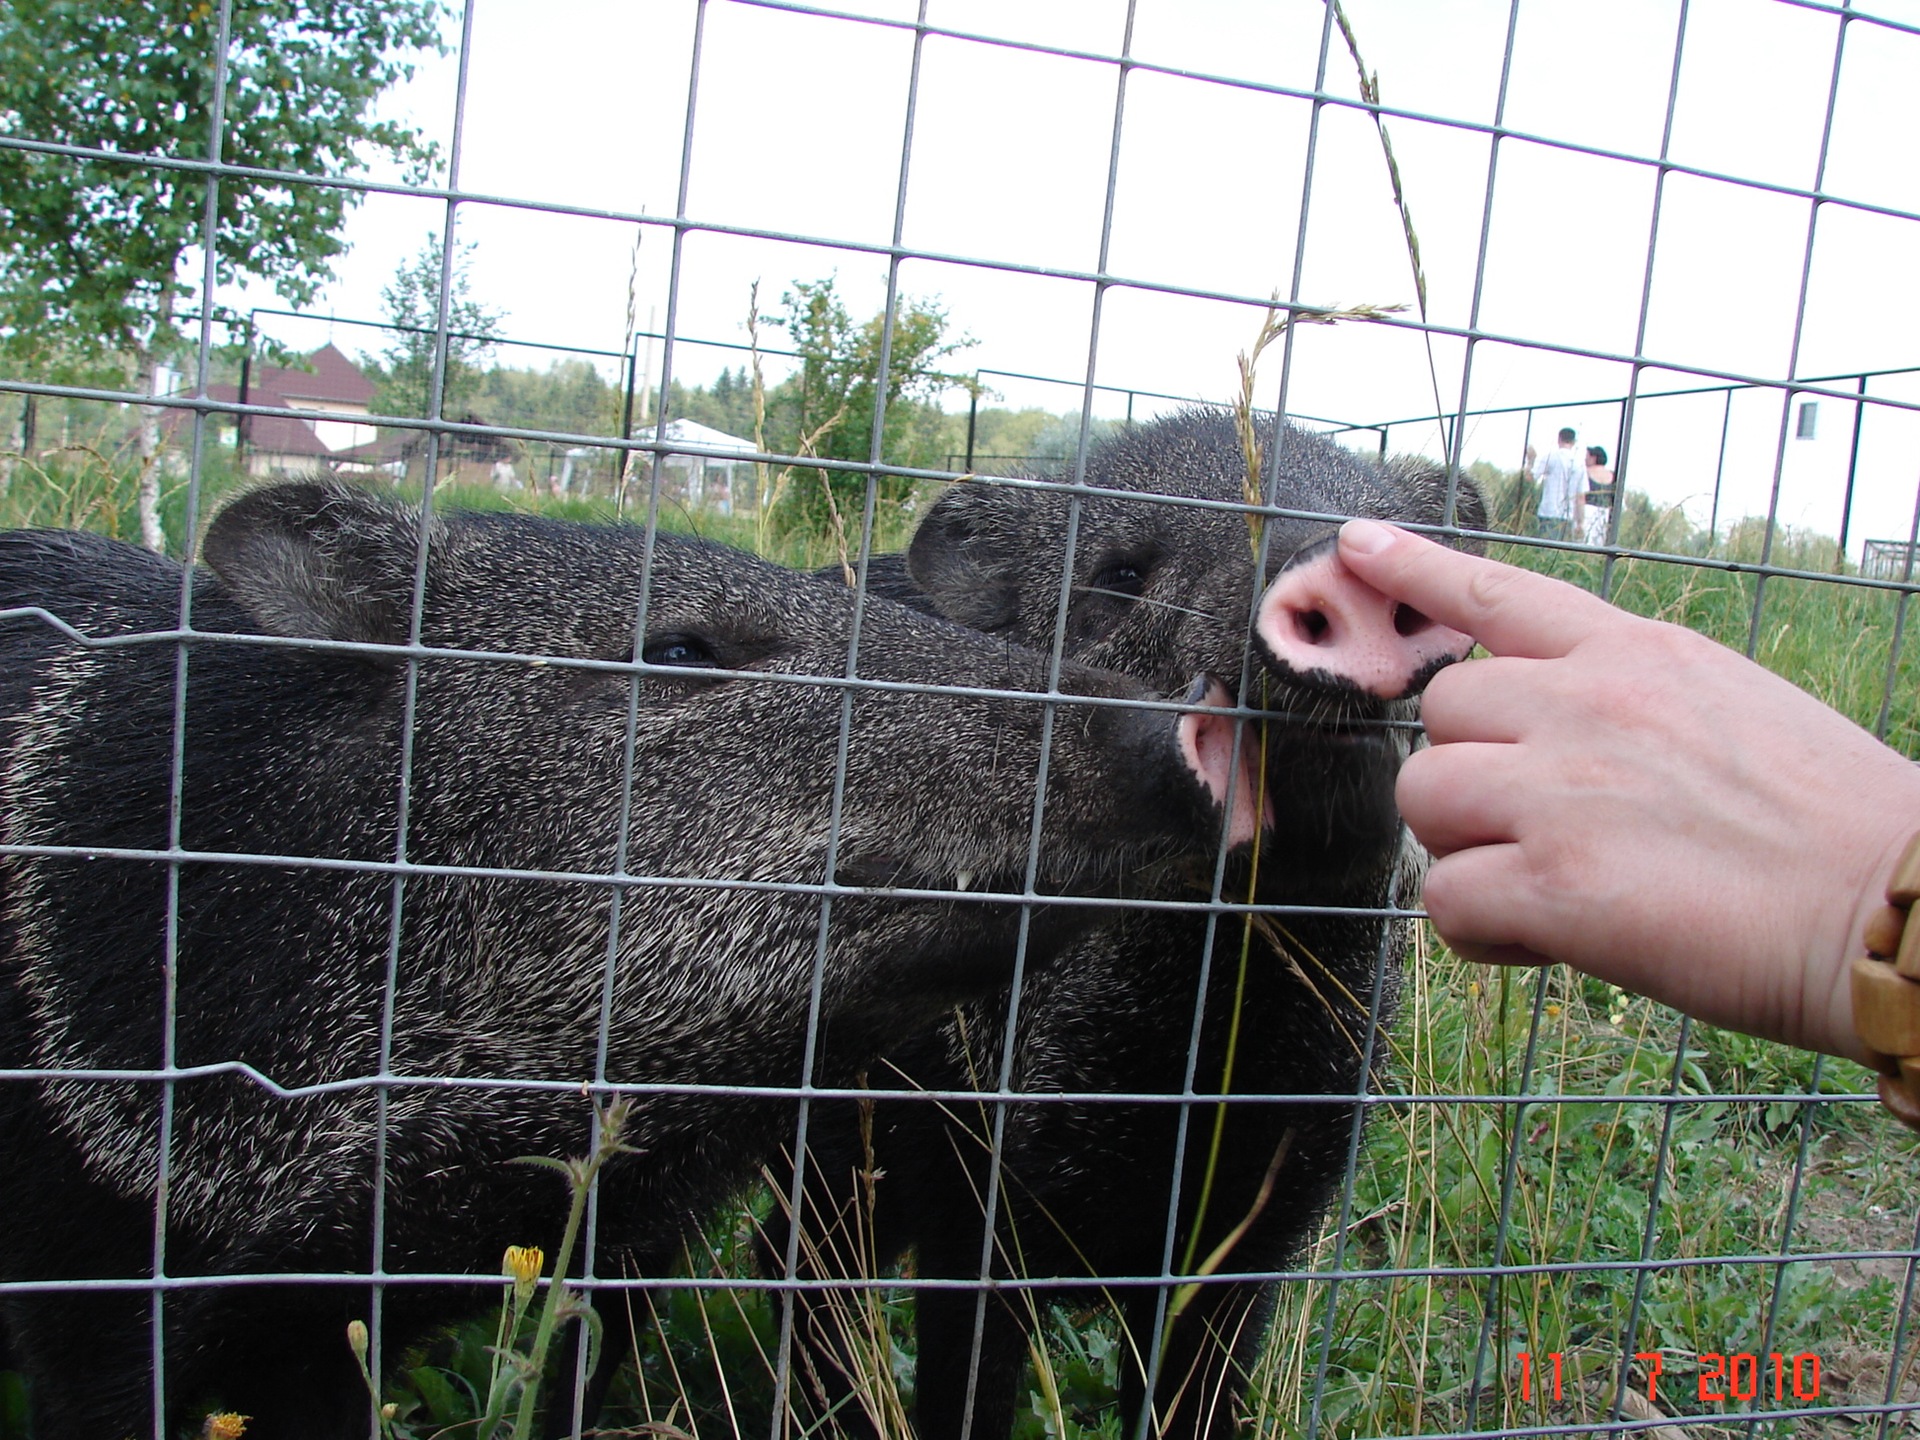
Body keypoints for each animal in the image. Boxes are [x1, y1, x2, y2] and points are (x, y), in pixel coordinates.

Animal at [779, 408, 1482, 1440]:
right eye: (1119, 574)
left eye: (1401, 539)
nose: (1332, 556)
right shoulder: (967, 1192)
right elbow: (967, 1389)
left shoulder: (1262, 1223)